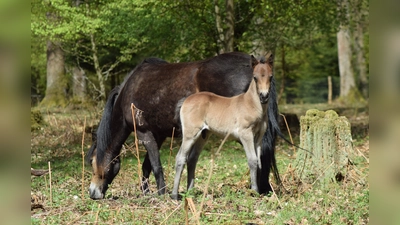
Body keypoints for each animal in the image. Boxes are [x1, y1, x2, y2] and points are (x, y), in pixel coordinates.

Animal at [86, 52, 282, 199]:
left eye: (92, 161)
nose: (92, 192)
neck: (129, 92)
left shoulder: (144, 132)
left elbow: (155, 165)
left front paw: (161, 193)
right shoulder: (158, 135)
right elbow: (148, 165)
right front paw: (149, 192)